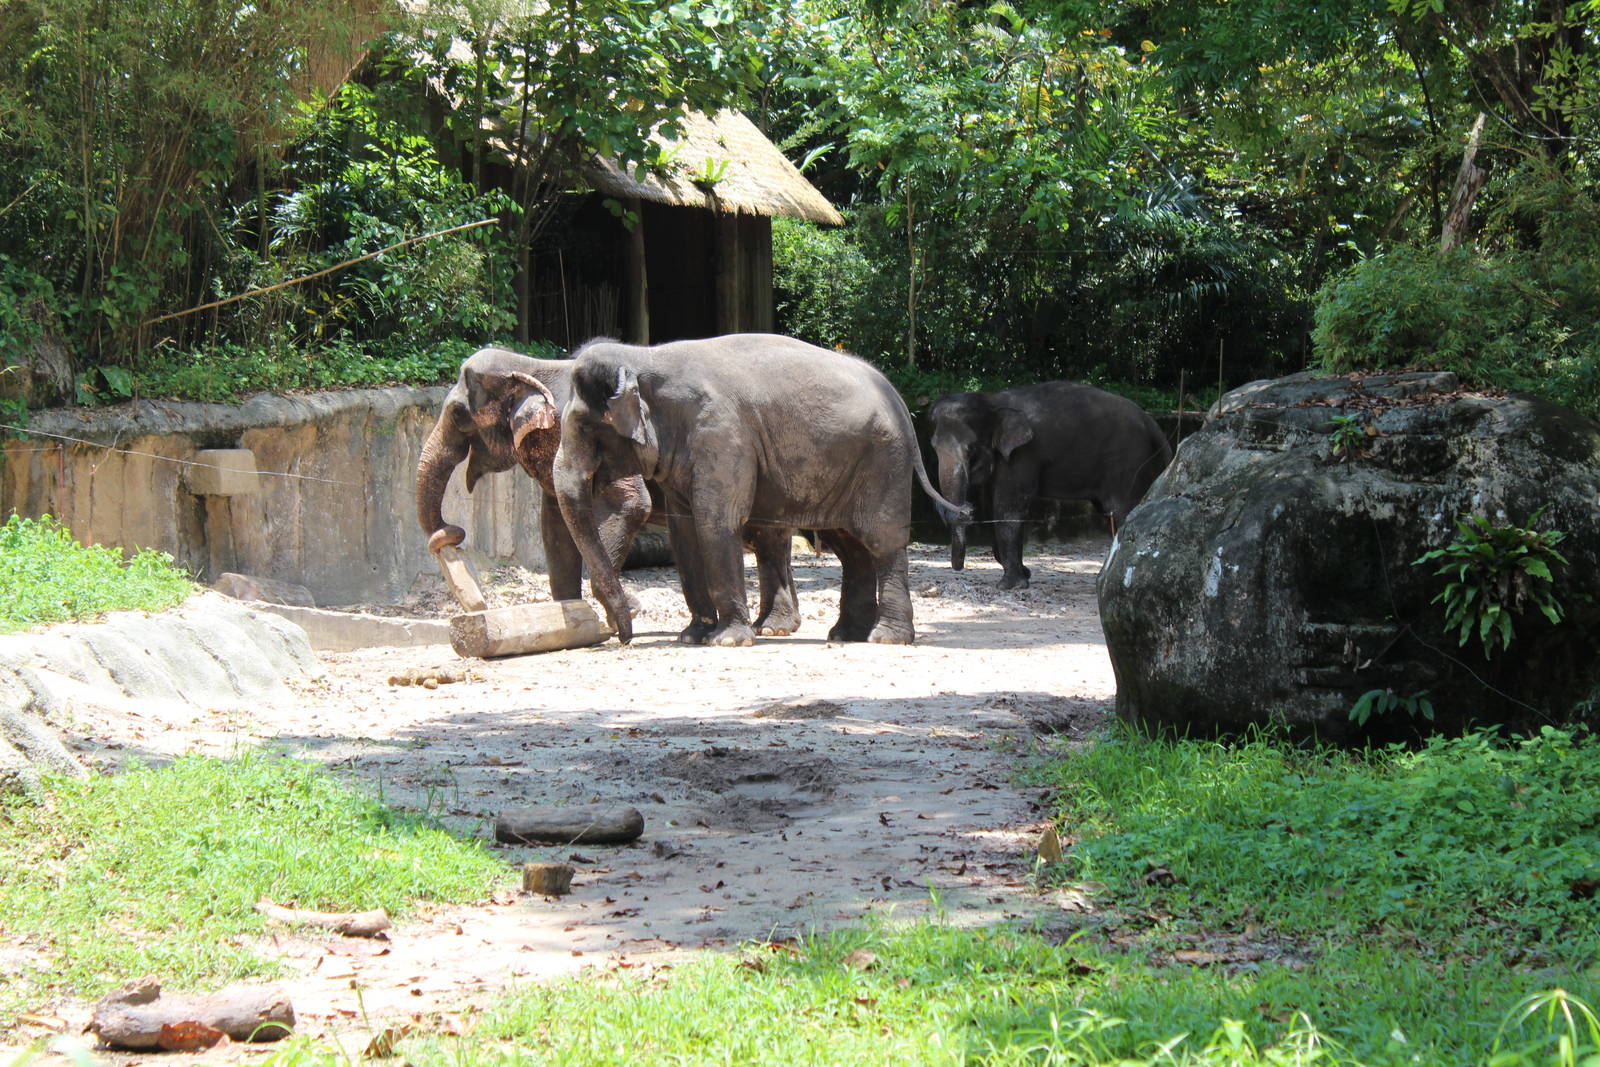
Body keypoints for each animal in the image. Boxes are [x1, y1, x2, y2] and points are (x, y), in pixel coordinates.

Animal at [416, 346, 802, 634]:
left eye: (458, 414)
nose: (451, 533)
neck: (530, 365)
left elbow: (629, 505)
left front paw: (623, 614)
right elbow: (554, 526)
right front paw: (570, 617)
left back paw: (773, 627)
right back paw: (776, 625)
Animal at [552, 333, 968, 647]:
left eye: (586, 428)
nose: (623, 637)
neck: (644, 356)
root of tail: (896, 396)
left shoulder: (721, 434)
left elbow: (715, 523)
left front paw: (727, 641)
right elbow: (683, 532)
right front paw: (692, 637)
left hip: (884, 460)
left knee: (881, 541)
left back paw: (886, 638)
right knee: (850, 546)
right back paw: (845, 635)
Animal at [928, 381, 1173, 589]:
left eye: (970, 449)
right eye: (933, 448)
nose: (967, 509)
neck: (991, 401)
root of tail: (1151, 421)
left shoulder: (1022, 455)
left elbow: (1007, 508)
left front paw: (1010, 585)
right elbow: (992, 507)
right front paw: (1024, 574)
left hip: (1128, 461)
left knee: (1124, 510)